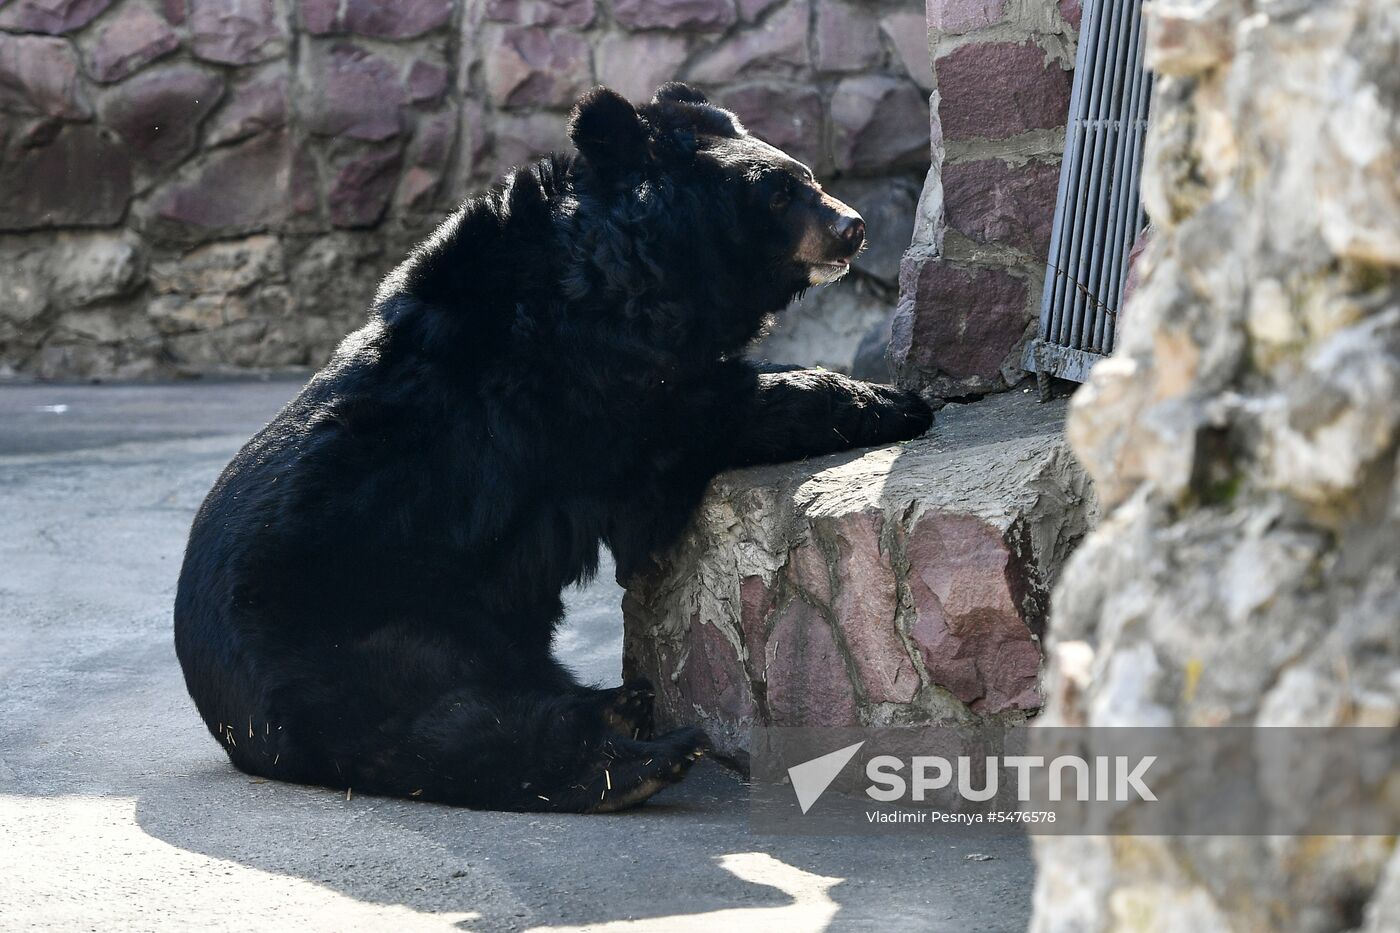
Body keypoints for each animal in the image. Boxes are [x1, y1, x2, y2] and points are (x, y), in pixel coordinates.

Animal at [175, 83, 935, 812]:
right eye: (778, 192)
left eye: (807, 176)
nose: (852, 226)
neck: (624, 269)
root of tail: (225, 713)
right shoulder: (578, 387)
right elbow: (693, 422)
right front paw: (895, 401)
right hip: (362, 625)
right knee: (449, 722)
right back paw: (641, 759)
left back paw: (622, 706)